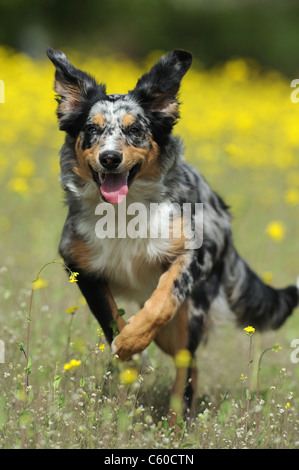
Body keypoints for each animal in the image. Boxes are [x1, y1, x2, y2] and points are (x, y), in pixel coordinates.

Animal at [47, 47, 299, 414]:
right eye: (92, 129)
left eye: (135, 129)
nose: (110, 158)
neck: (125, 211)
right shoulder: (78, 264)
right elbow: (108, 316)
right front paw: (131, 353)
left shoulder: (195, 253)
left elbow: (162, 301)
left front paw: (132, 341)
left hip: (189, 316)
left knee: (186, 362)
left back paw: (179, 418)